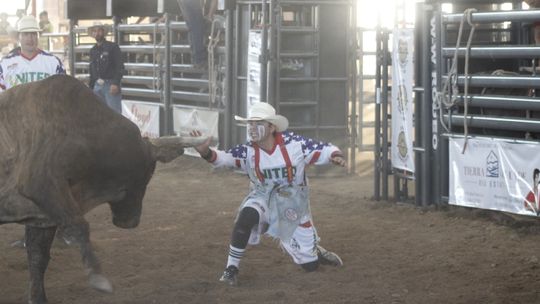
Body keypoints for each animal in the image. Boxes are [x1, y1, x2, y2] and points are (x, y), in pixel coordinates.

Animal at [0, 74, 202, 304]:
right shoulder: (42, 186)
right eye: (148, 174)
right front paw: (98, 278)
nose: (130, 222)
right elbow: (80, 225)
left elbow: (37, 257)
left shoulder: (42, 216)